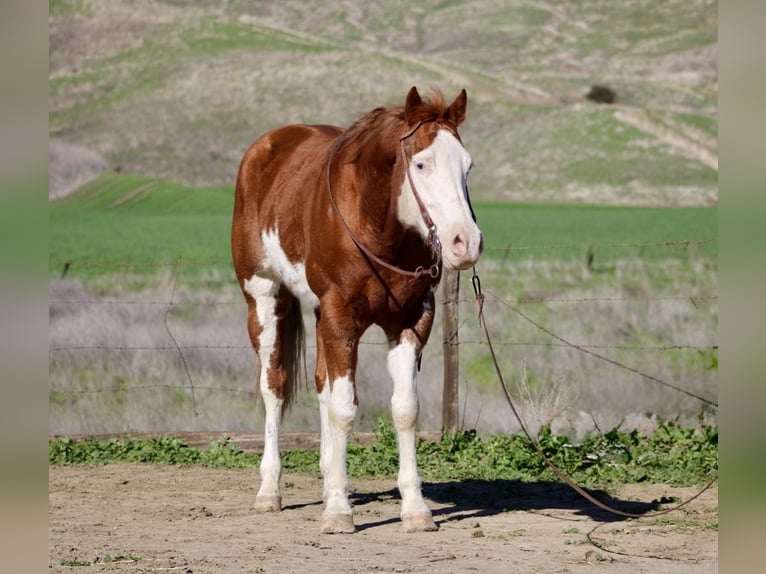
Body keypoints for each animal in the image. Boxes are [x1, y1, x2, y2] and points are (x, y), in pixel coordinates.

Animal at [231, 87, 483, 533]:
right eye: (421, 164)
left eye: (467, 165)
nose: (465, 242)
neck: (376, 226)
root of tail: (266, 148)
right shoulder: (340, 318)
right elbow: (345, 409)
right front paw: (338, 511)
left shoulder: (412, 321)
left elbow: (403, 410)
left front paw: (415, 509)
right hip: (263, 297)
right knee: (274, 386)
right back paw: (269, 491)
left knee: (321, 385)